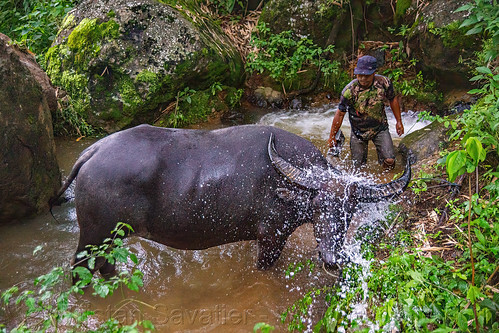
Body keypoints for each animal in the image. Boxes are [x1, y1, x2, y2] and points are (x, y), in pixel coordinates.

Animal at [51, 123, 410, 276]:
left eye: (349, 211)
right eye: (319, 207)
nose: (332, 258)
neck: (286, 179)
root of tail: (93, 151)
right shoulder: (271, 238)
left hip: (111, 239)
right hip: (93, 236)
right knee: (81, 270)